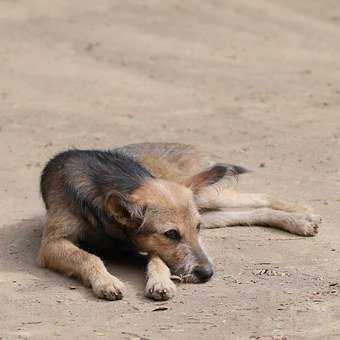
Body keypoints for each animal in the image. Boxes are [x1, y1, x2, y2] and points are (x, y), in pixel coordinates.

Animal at [37, 142, 322, 302]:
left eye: (195, 229)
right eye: (172, 234)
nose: (207, 274)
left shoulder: (145, 244)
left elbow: (158, 260)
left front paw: (160, 282)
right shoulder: (52, 244)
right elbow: (89, 257)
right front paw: (106, 282)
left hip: (206, 198)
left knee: (261, 196)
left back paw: (302, 213)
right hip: (210, 209)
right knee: (253, 212)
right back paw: (300, 220)